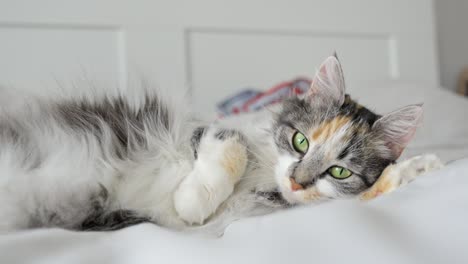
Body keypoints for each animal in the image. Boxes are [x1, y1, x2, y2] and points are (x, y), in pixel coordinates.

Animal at [0, 54, 442, 232]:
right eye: (300, 141)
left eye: (338, 171)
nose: (297, 180)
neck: (266, 180)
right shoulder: (206, 130)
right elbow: (233, 145)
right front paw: (192, 202)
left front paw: (420, 168)